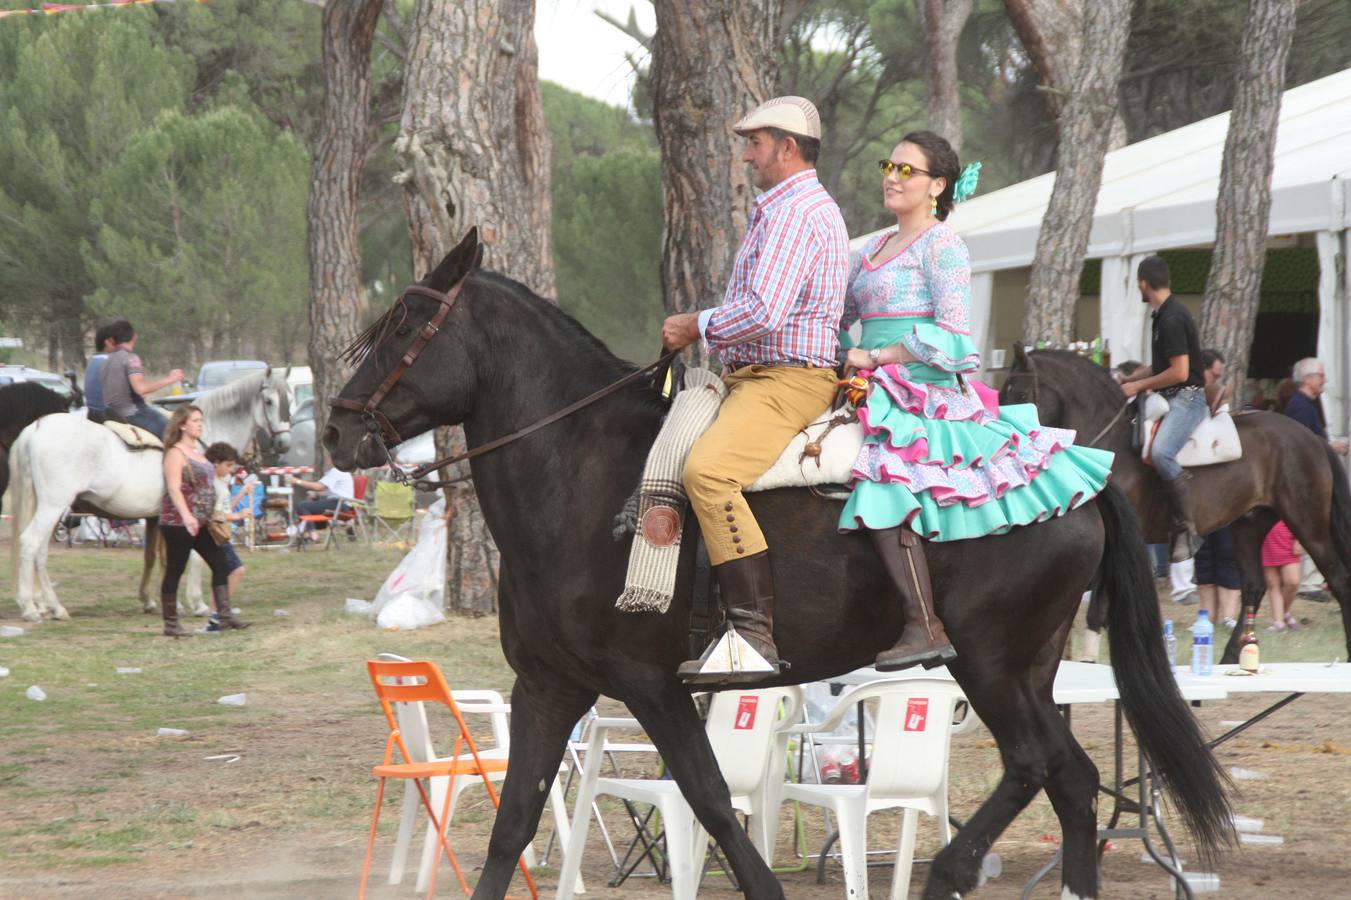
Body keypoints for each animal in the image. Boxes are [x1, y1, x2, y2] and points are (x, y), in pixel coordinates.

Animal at [326, 231, 1237, 897]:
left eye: (404, 328)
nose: (337, 431)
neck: (578, 476)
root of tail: (1075, 475)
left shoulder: (652, 685)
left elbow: (714, 807)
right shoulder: (549, 686)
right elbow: (513, 821)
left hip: (990, 664)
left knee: (1034, 764)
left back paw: (946, 870)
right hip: (1028, 667)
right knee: (1071, 780)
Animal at [999, 345, 1351, 662]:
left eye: (1019, 394)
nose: (1004, 446)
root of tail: (1311, 438)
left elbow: (1097, 605)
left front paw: (1087, 659)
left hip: (1307, 522)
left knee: (1338, 579)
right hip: (1249, 524)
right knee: (1254, 586)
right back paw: (1229, 656)